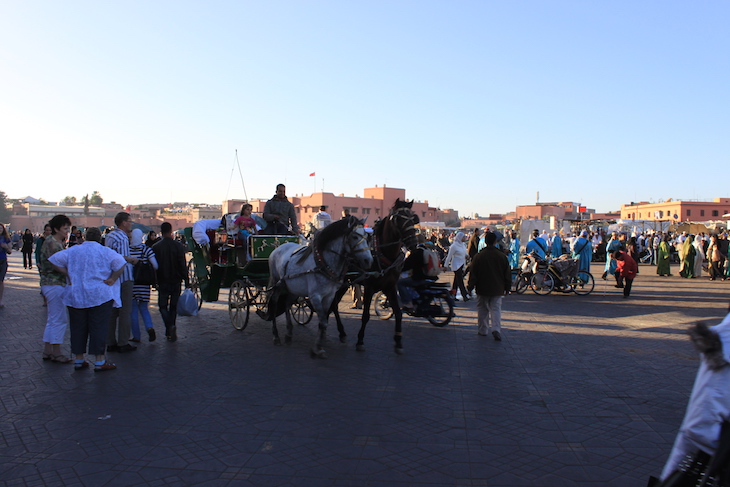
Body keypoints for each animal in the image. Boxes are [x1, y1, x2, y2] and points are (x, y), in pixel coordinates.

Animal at [266, 217, 372, 358]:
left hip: (293, 287)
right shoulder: (315, 296)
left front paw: (321, 343)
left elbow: (324, 320)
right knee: (274, 304)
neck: (324, 263)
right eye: (354, 236)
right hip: (277, 284)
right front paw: (317, 347)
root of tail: (278, 247)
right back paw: (276, 336)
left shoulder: (329, 295)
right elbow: (323, 320)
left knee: (287, 304)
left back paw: (289, 333)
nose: (369, 261)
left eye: (366, 236)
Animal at [328, 198, 418, 354]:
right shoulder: (369, 287)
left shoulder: (390, 287)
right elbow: (365, 316)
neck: (383, 253)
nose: (413, 243)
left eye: (412, 218)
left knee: (334, 304)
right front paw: (360, 341)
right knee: (332, 303)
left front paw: (398, 341)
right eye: (399, 218)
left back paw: (340, 331)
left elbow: (398, 313)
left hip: (344, 283)